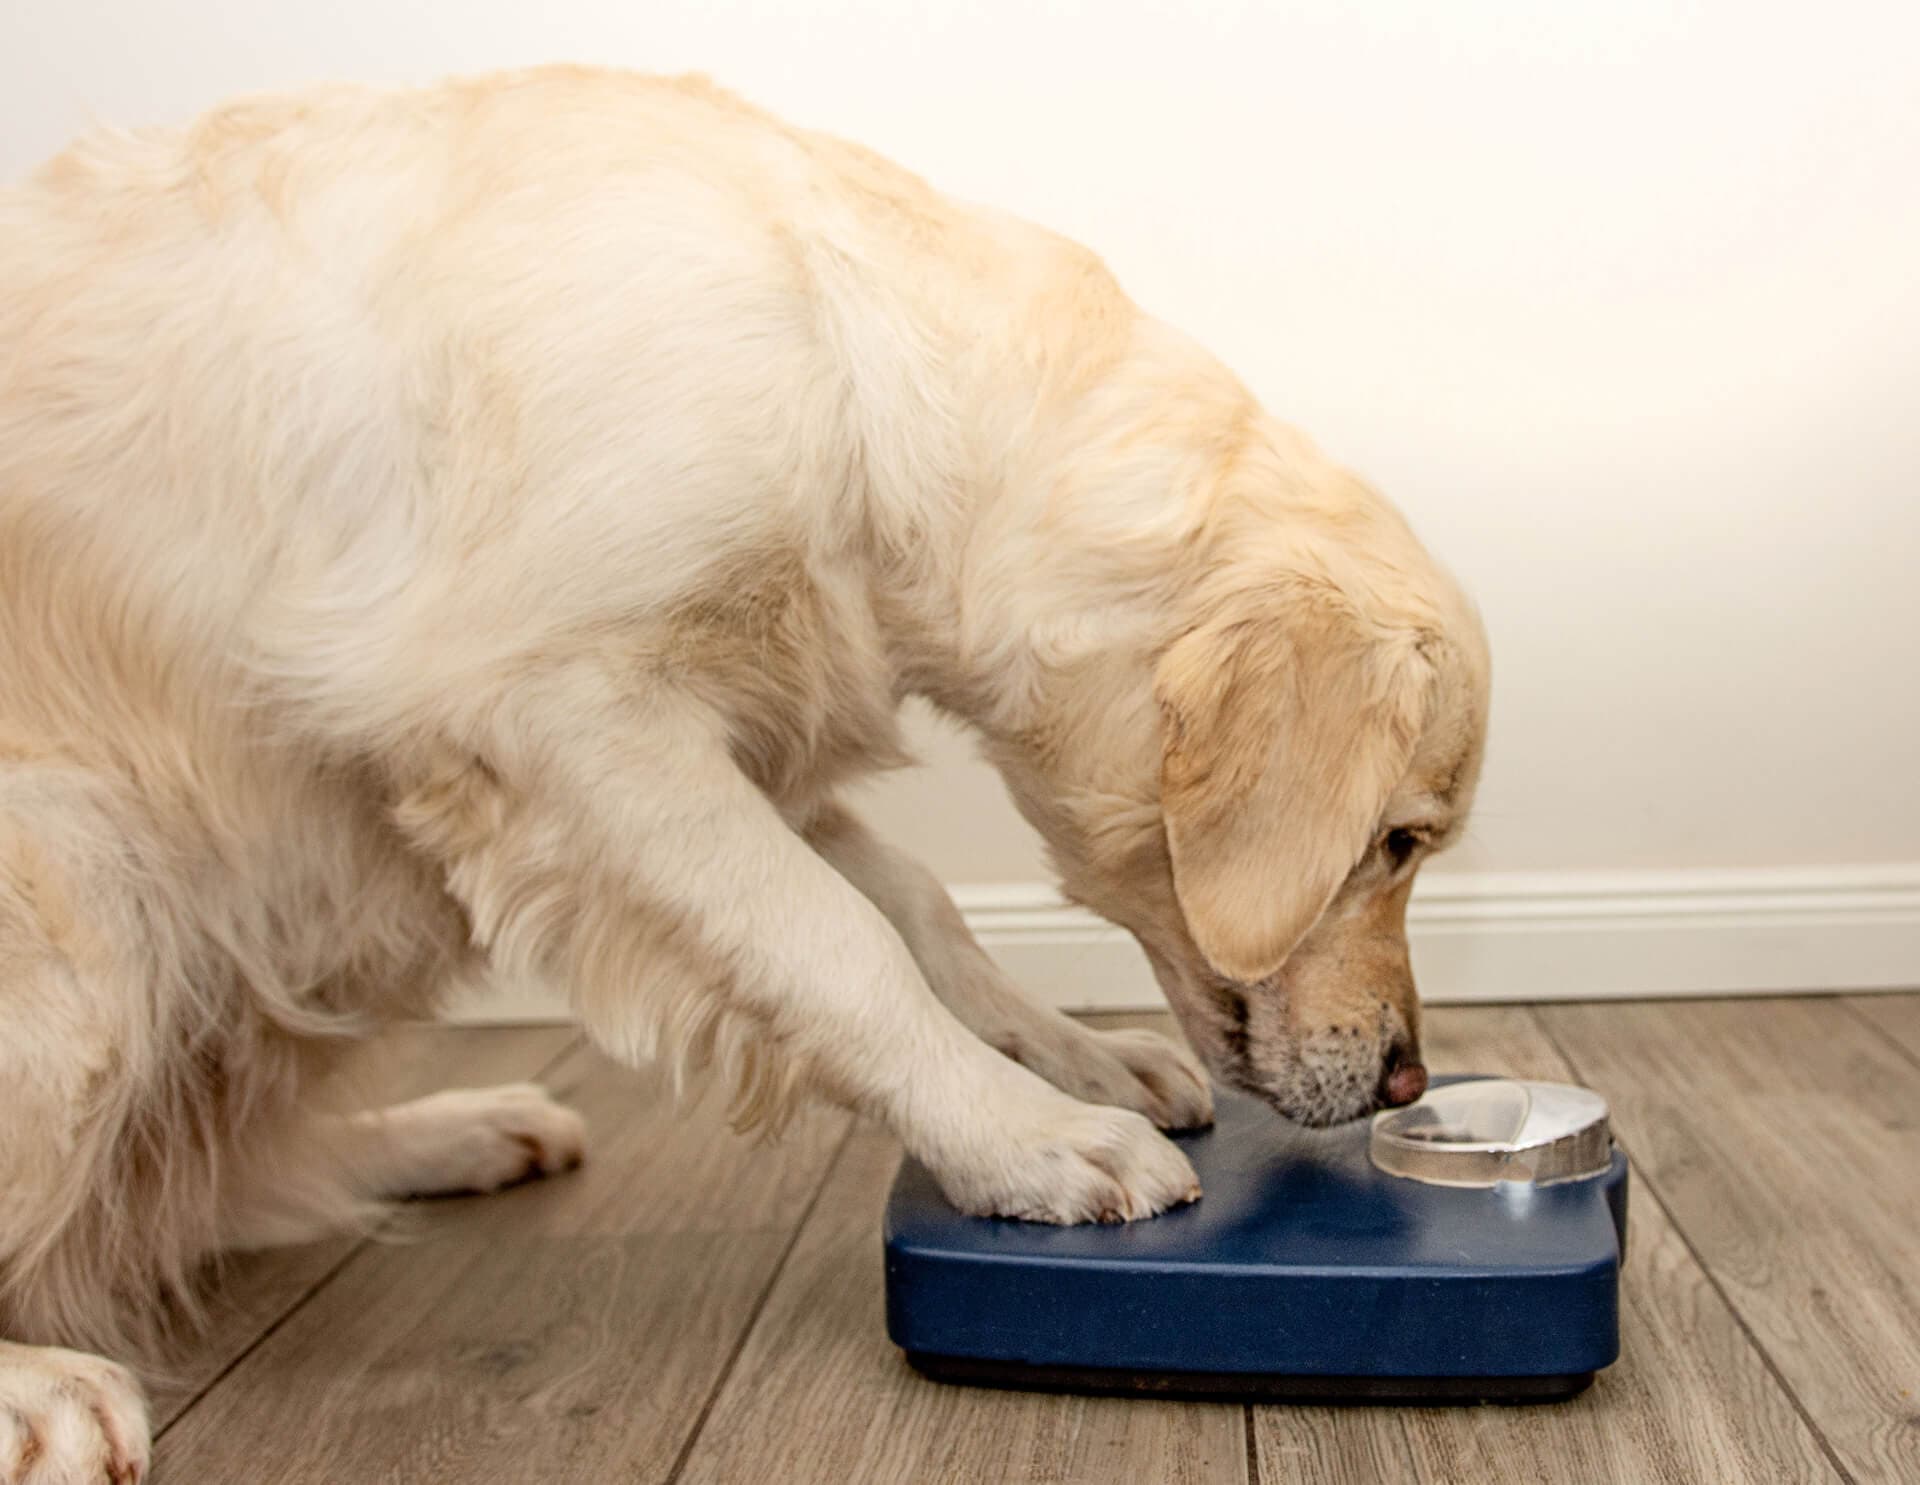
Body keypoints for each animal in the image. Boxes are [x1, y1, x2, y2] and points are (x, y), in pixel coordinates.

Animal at [0, 72, 1489, 1483]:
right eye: (1398, 842)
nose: (1410, 1080)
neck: (846, 356)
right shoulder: (569, 721)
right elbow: (839, 948)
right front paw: (1022, 1136)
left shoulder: (738, 739)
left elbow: (920, 910)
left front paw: (1071, 1058)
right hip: (90, 895)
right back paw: (42, 1389)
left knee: (195, 1196)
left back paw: (459, 1130)